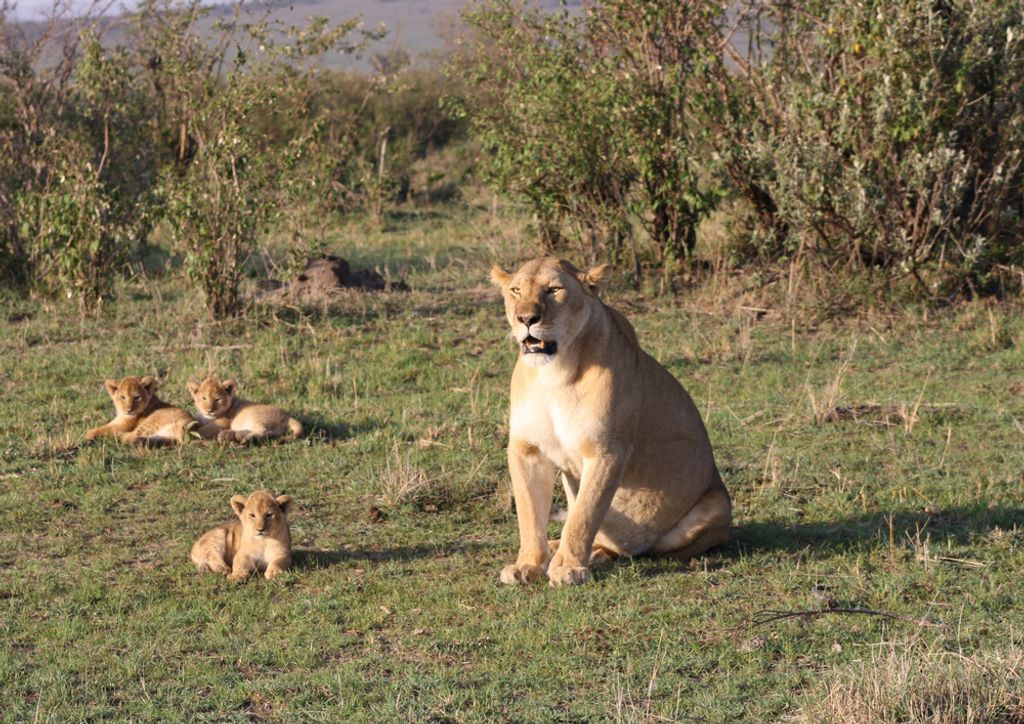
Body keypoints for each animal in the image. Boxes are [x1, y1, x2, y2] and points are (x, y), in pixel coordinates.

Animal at [490, 256, 732, 586]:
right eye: (516, 290)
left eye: (554, 290)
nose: (525, 318)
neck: (554, 374)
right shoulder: (527, 450)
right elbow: (529, 514)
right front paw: (527, 564)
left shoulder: (607, 451)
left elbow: (584, 514)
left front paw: (568, 568)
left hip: (717, 506)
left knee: (627, 547)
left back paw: (590, 553)